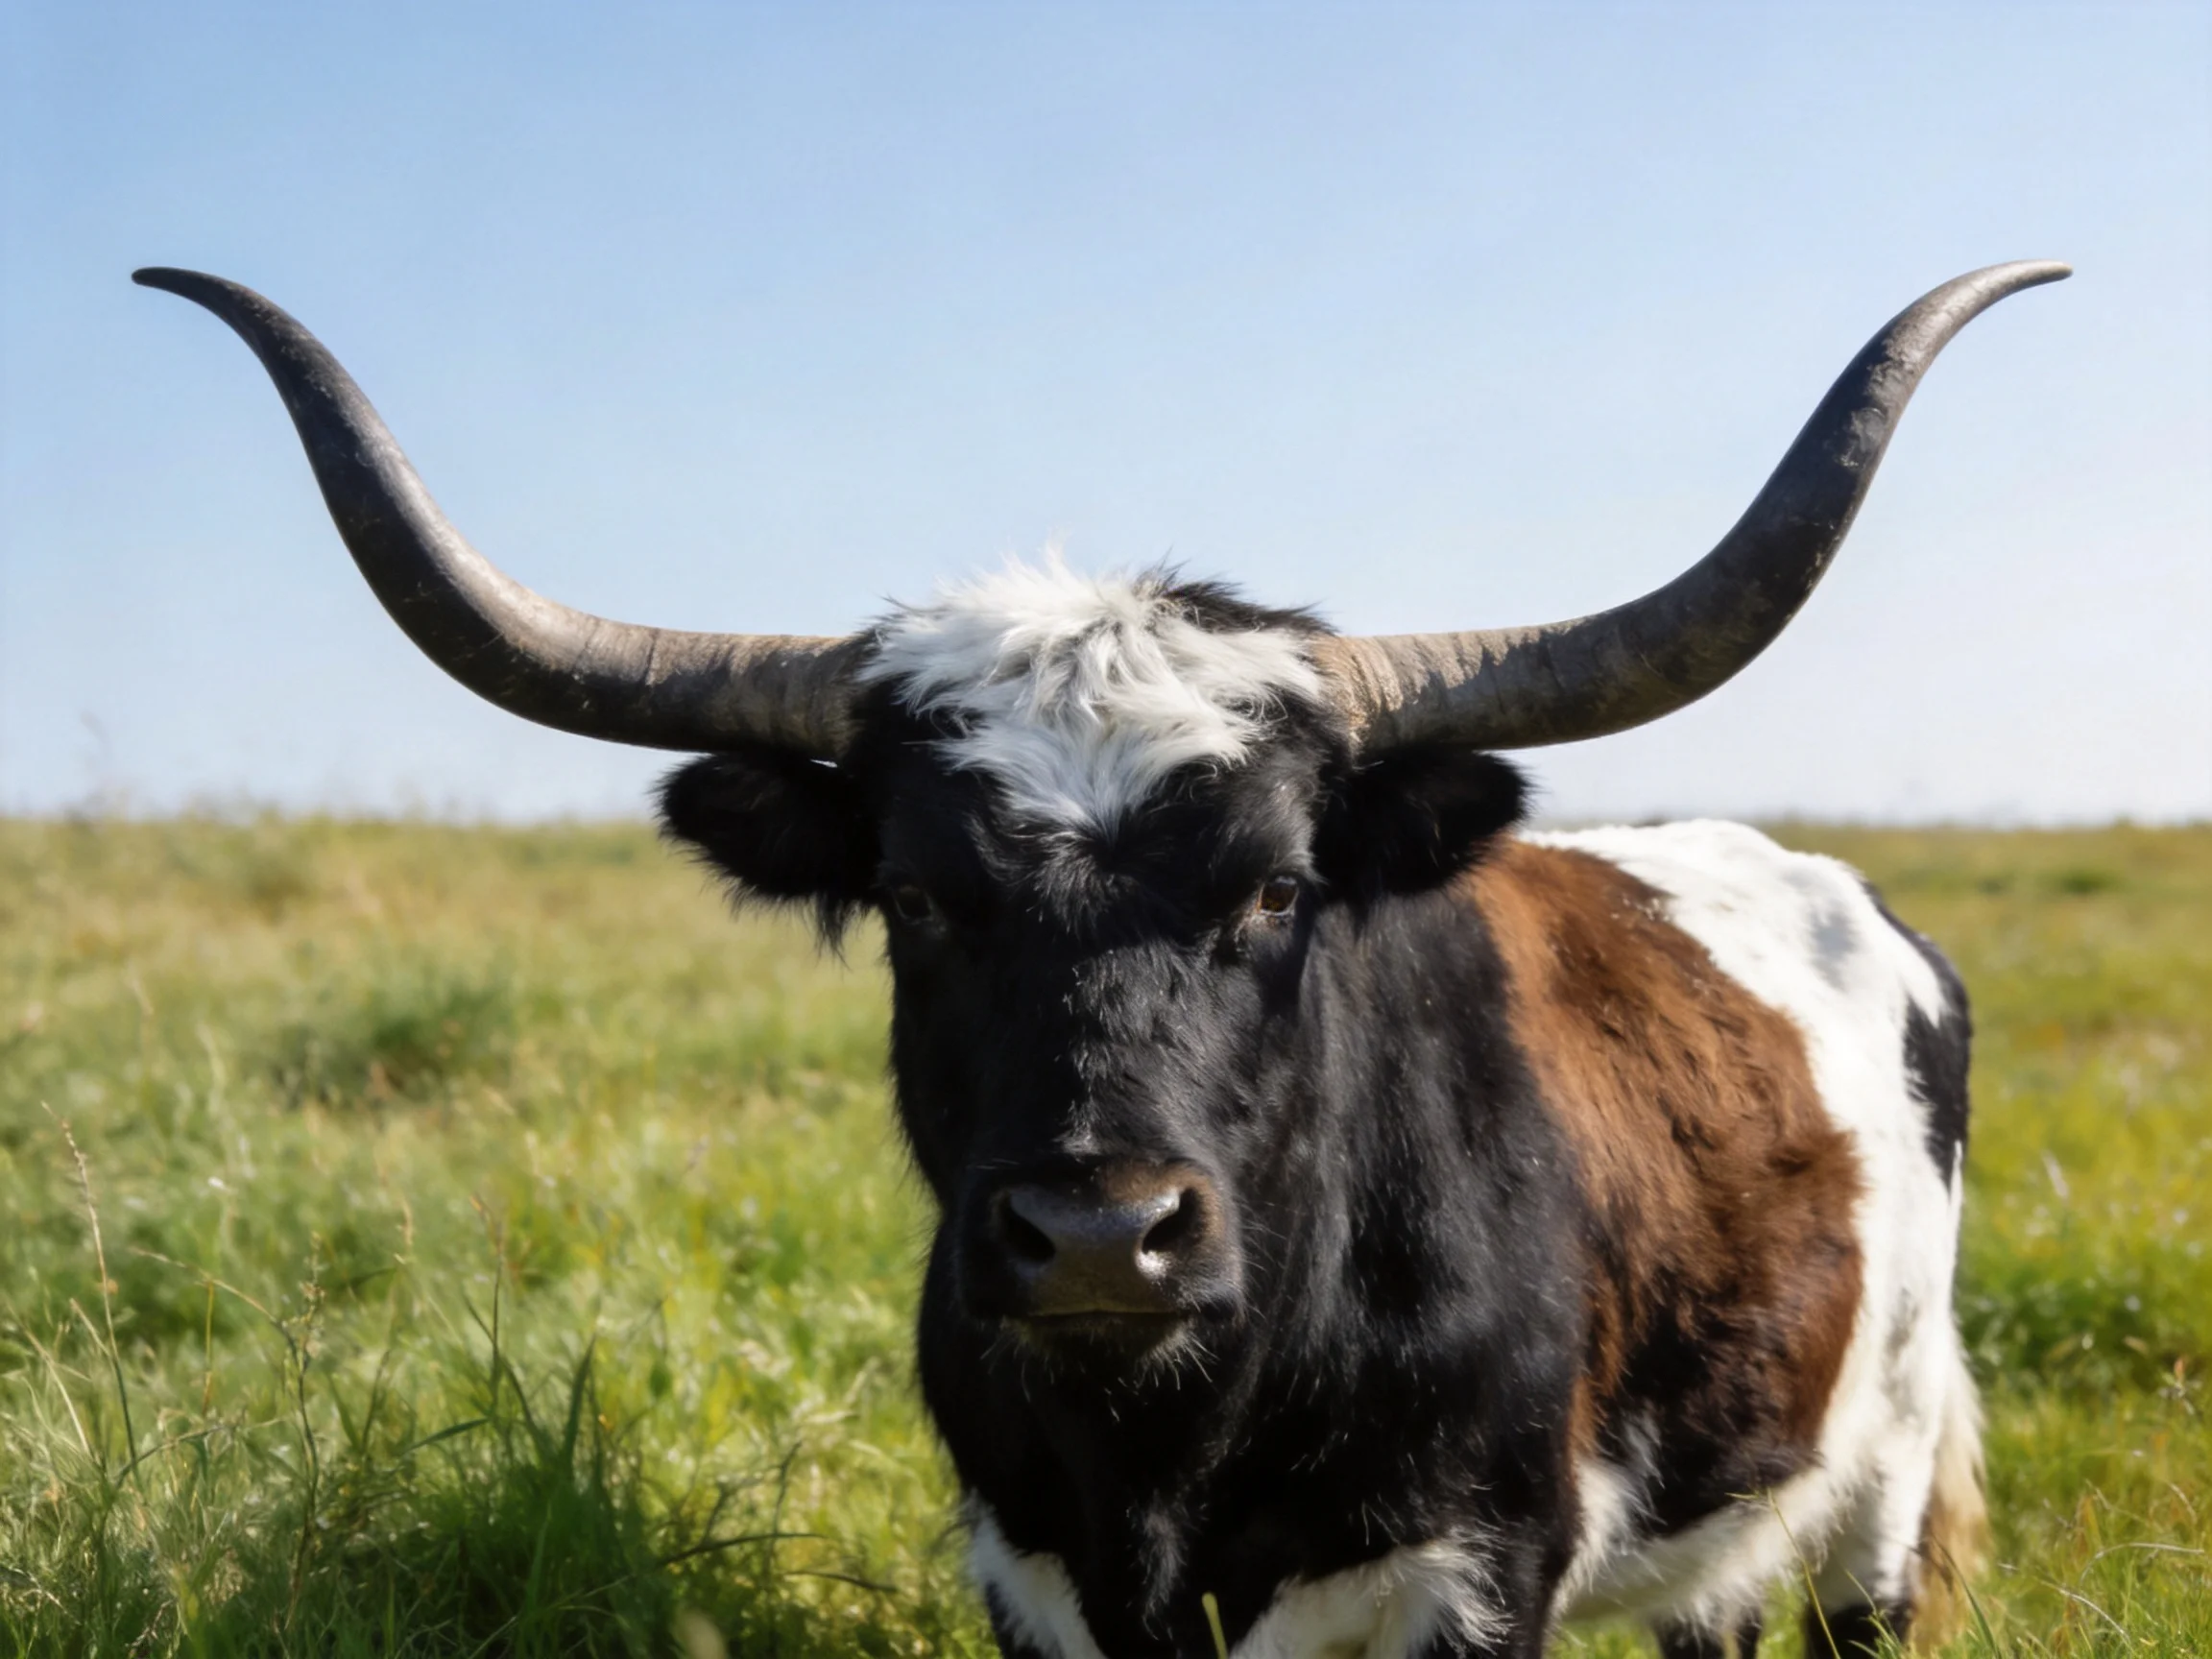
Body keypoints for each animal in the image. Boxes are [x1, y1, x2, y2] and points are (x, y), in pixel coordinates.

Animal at [137, 260, 2066, 1657]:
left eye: (1278, 887)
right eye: (917, 894)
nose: (1093, 1235)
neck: (1168, 1442)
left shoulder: (1471, 1574)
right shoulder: (1033, 1574)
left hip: (1876, 1486)